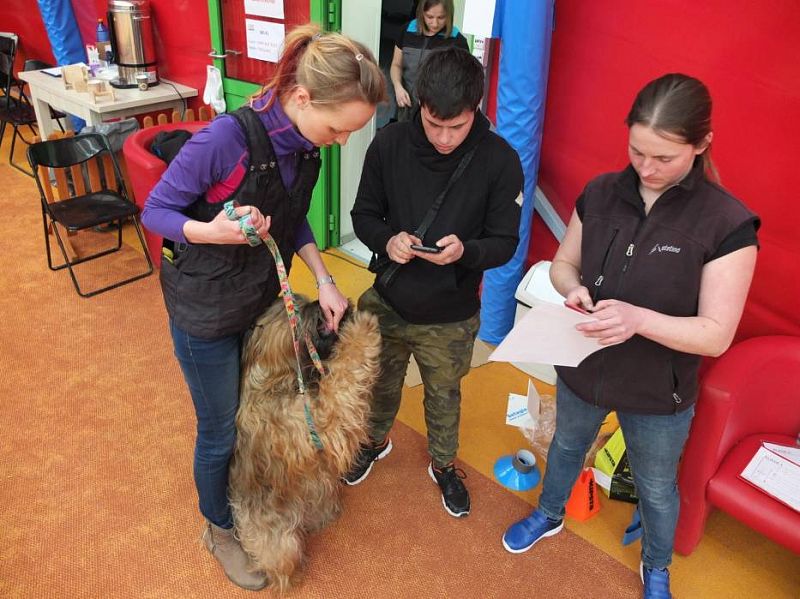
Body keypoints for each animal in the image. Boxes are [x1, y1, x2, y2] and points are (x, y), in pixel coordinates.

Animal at [228, 296, 382, 592]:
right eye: (296, 309)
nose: (320, 305)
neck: (272, 377)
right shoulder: (320, 421)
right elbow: (344, 380)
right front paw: (363, 327)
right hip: (280, 540)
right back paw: (290, 577)